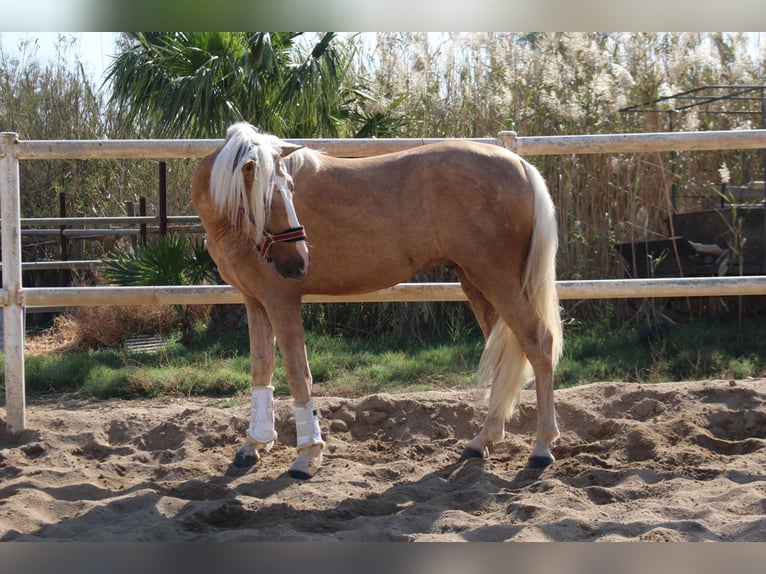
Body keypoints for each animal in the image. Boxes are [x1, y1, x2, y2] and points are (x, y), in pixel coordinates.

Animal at [192, 122, 564, 482]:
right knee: (505, 355)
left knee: (538, 342)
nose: (299, 262)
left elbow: (299, 374)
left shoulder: (281, 300)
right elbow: (261, 368)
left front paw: (308, 455)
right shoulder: (255, 301)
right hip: (477, 283)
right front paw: (253, 444)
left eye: (291, 190)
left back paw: (541, 448)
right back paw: (482, 440)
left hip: (499, 282)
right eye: (267, 197)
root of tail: (519, 163)